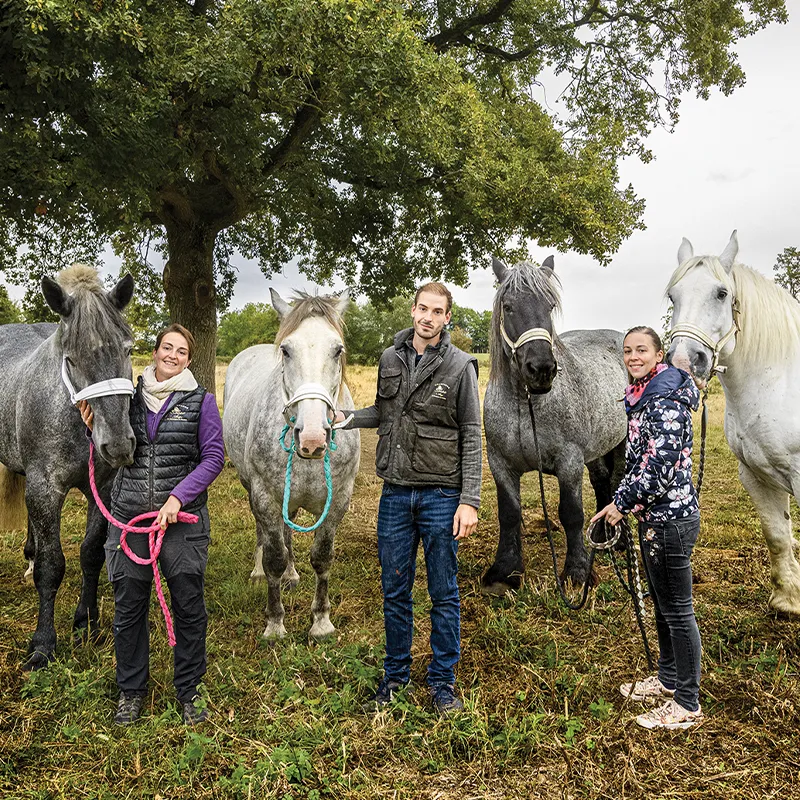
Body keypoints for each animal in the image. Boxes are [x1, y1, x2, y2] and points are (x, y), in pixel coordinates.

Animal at [0, 266, 135, 664]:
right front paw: (43, 644)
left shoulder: (100, 489)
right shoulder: (45, 489)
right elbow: (52, 566)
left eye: (128, 350)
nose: (118, 446)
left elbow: (90, 554)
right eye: (71, 358)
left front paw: (86, 623)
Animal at [225, 290, 362, 640]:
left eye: (338, 349)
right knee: (266, 534)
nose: (312, 438)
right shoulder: (265, 497)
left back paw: (291, 574)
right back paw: (260, 571)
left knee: (288, 531)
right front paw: (275, 623)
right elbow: (273, 555)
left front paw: (321, 621)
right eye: (286, 350)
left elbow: (322, 558)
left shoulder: (338, 502)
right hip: (253, 490)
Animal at [482, 256, 632, 592]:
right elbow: (509, 514)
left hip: (621, 441)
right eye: (508, 306)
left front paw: (577, 572)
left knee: (616, 480)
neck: (526, 403)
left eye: (550, 306)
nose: (541, 368)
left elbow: (571, 514)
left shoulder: (569, 462)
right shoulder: (500, 463)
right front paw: (505, 572)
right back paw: (601, 536)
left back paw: (618, 541)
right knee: (601, 480)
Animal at [664, 228, 800, 616]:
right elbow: (777, 534)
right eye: (673, 295)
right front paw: (788, 600)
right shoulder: (755, 474)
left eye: (722, 293)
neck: (779, 380)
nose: (683, 360)